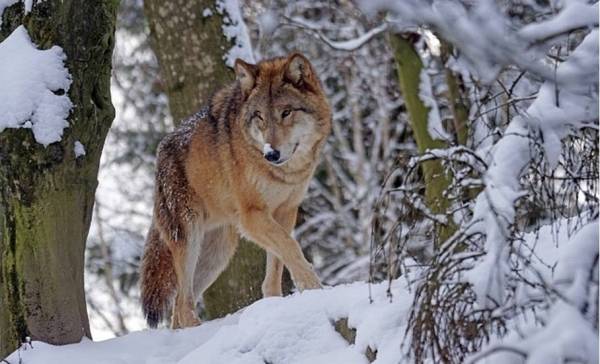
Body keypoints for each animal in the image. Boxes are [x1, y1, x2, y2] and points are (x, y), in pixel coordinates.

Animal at [141, 52, 332, 328]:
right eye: (259, 116)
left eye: (286, 112)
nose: (271, 154)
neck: (284, 173)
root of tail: (160, 152)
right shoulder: (252, 216)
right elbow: (291, 248)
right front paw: (314, 289)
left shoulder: (285, 212)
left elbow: (277, 264)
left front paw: (275, 304)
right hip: (189, 239)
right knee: (183, 304)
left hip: (218, 253)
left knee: (178, 308)